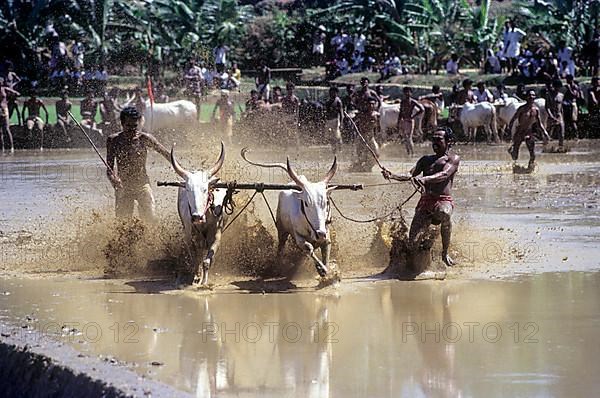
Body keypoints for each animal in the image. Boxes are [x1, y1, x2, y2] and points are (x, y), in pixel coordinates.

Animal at [171, 141, 227, 284]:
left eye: (205, 189)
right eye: (188, 189)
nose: (196, 217)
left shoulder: (217, 234)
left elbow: (207, 261)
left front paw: (204, 281)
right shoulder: (189, 234)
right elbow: (196, 257)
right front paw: (196, 276)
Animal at [243, 148, 338, 276]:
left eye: (326, 202)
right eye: (306, 203)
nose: (320, 233)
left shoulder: (326, 233)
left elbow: (325, 249)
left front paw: (324, 269)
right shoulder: (298, 237)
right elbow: (309, 248)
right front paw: (321, 268)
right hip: (282, 230)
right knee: (281, 246)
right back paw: (277, 265)